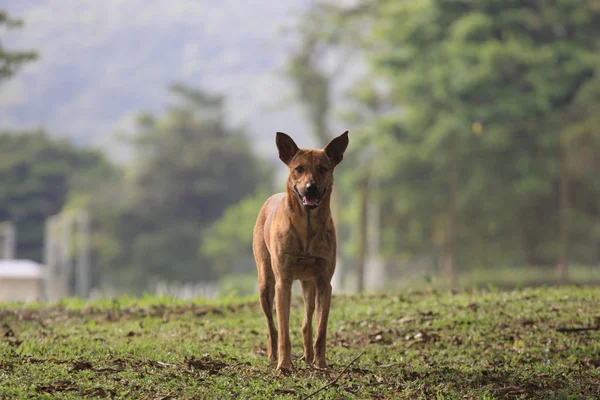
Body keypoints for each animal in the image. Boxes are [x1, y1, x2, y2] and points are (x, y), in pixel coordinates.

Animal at [252, 132, 346, 372]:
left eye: (323, 168)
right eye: (299, 168)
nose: (310, 187)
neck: (308, 227)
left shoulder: (324, 282)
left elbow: (320, 329)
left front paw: (321, 364)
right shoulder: (282, 281)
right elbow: (284, 329)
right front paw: (284, 364)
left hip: (308, 284)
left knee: (307, 321)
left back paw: (309, 356)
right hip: (265, 282)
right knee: (271, 326)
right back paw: (273, 356)